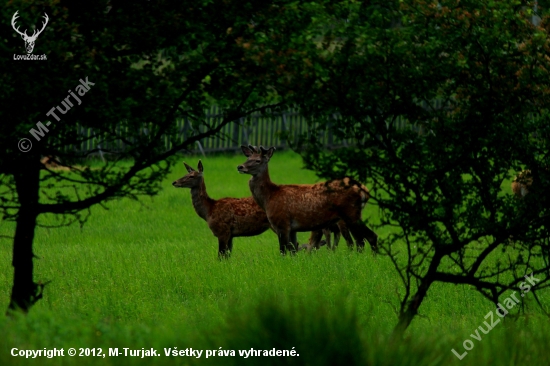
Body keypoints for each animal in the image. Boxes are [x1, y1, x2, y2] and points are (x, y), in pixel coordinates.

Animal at [172, 160, 336, 258]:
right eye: (186, 173)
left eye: (191, 176)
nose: (174, 182)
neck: (209, 210)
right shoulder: (230, 234)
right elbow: (227, 256)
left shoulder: (222, 230)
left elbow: (221, 256)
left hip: (277, 224)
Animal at [237, 145, 380, 254]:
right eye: (247, 158)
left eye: (258, 160)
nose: (240, 167)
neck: (269, 198)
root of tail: (364, 191)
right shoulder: (292, 228)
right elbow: (292, 250)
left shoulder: (282, 223)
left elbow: (283, 251)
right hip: (350, 216)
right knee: (361, 240)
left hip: (350, 213)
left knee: (368, 237)